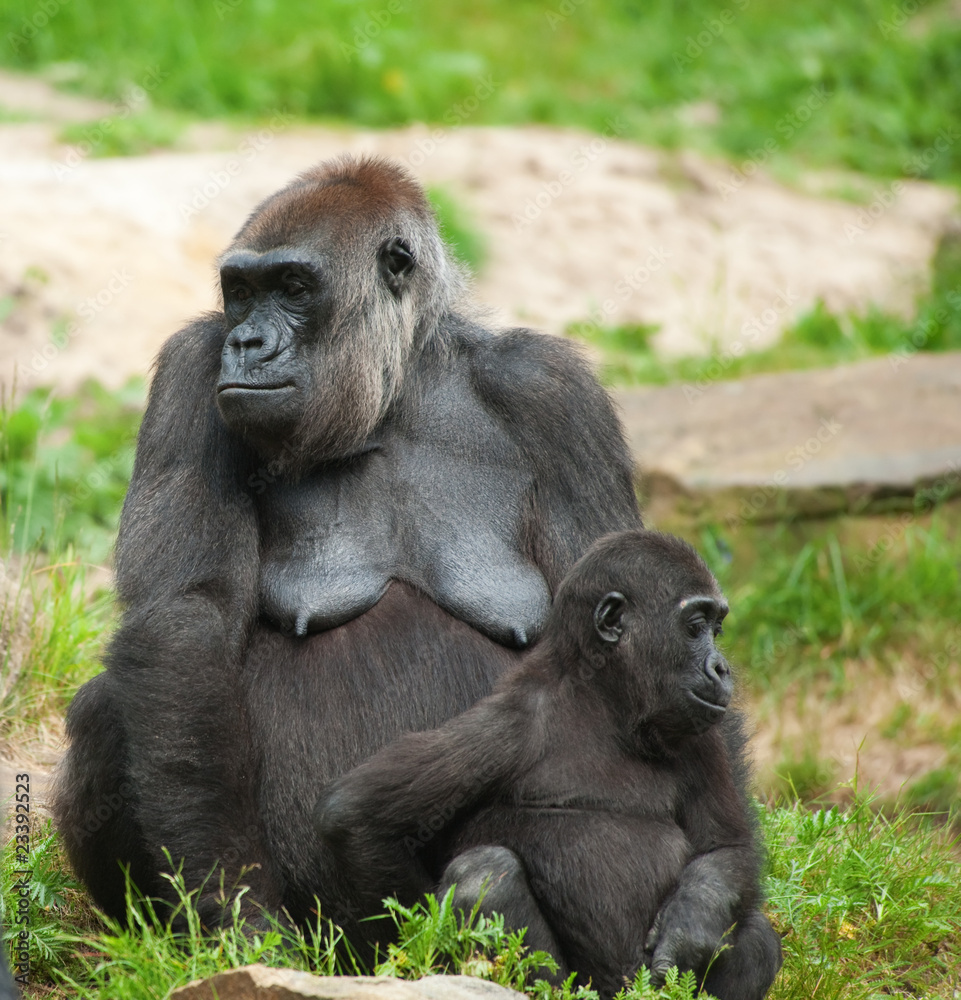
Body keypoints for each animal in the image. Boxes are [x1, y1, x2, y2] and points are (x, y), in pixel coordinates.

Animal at [50, 154, 636, 928]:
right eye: (240, 293)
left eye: (295, 289)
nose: (247, 344)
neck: (395, 387)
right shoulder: (191, 368)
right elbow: (185, 622)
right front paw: (235, 911)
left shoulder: (556, 394)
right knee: (114, 704)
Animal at [316, 528, 780, 996]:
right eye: (695, 627)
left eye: (716, 629)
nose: (721, 668)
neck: (605, 706)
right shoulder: (508, 723)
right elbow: (356, 816)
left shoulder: (701, 739)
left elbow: (726, 847)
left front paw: (689, 928)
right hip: (581, 986)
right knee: (484, 877)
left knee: (758, 937)